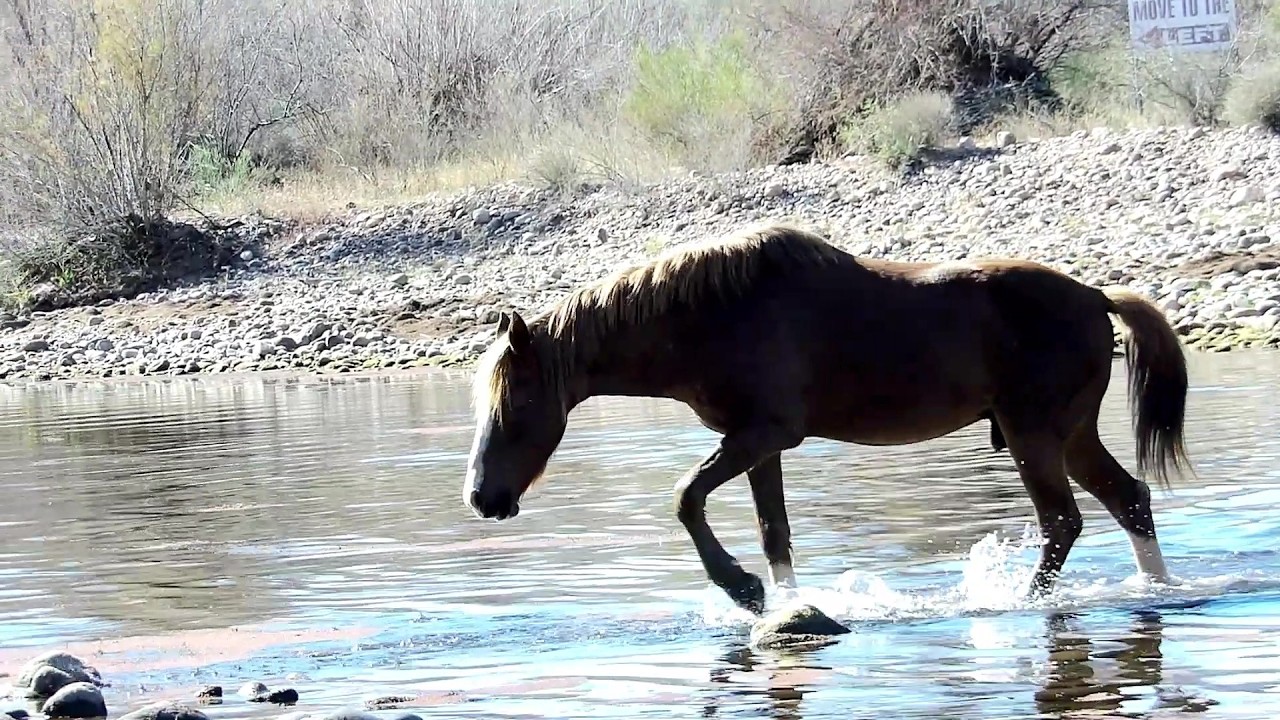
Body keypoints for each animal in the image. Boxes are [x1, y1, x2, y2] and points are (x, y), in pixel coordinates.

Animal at [461, 222, 1193, 615]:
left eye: (517, 403)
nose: (481, 497)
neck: (708, 319)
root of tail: (1096, 295)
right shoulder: (758, 445)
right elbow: (775, 535)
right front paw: (781, 604)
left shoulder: (763, 434)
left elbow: (684, 498)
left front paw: (741, 588)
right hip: (1070, 435)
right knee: (1128, 500)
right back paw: (1159, 586)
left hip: (1032, 435)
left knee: (1063, 522)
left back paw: (1015, 600)